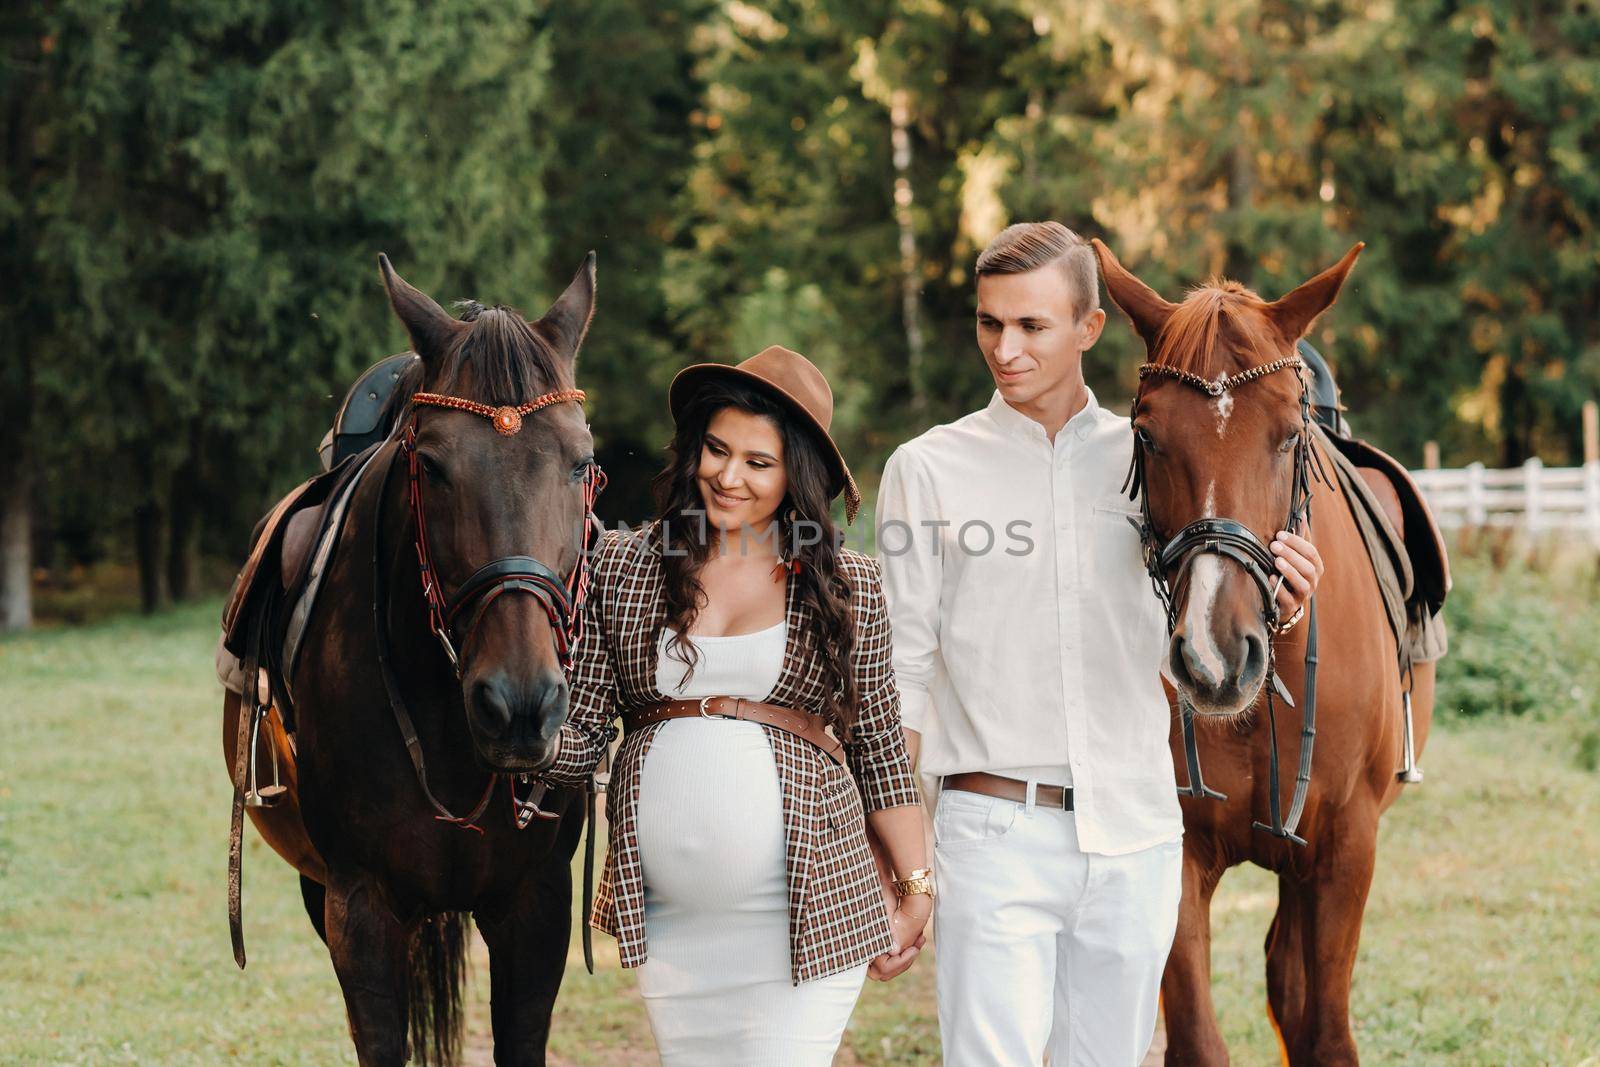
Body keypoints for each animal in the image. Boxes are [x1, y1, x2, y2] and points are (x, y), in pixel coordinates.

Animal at [1094, 244, 1433, 1067]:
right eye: (1146, 436)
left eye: (1288, 435)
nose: (1216, 658)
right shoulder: (1179, 853)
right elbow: (1197, 1039)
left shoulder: (1346, 851)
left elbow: (1327, 1034)